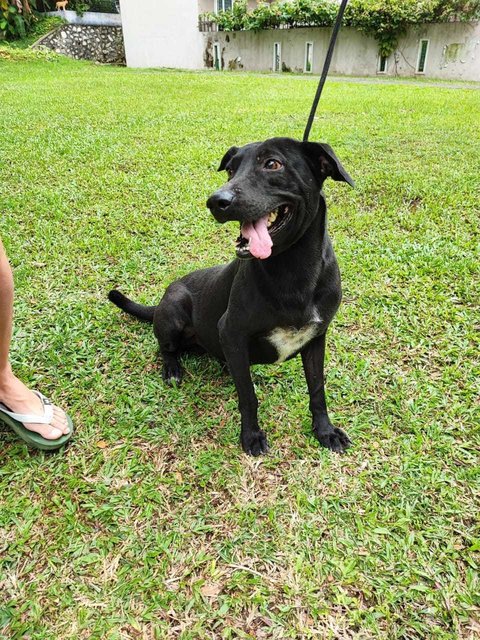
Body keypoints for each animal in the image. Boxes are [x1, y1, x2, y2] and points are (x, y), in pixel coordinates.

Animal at [109, 136, 356, 456]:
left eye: (273, 164)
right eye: (230, 170)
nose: (216, 201)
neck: (293, 268)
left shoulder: (316, 337)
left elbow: (317, 389)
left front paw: (324, 431)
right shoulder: (232, 331)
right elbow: (248, 395)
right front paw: (251, 436)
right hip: (173, 309)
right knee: (166, 348)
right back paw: (173, 368)